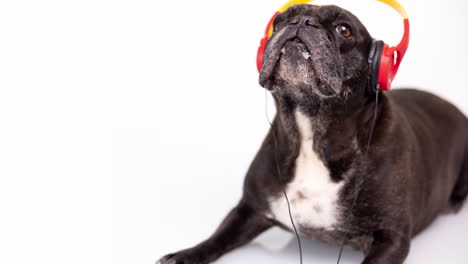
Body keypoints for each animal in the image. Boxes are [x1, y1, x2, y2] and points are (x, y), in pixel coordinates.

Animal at [157, 4, 468, 264]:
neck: (311, 132)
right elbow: (219, 236)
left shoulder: (391, 238)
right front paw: (184, 255)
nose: (301, 22)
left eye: (344, 29)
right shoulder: (250, 208)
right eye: (279, 21)